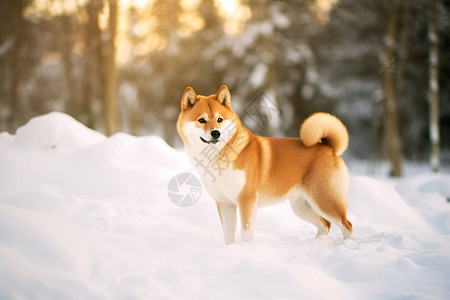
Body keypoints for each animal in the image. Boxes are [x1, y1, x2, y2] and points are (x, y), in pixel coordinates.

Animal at [177, 84, 352, 244]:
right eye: (202, 120)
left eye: (220, 119)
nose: (216, 133)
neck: (221, 155)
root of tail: (329, 148)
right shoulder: (225, 204)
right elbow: (229, 236)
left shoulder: (246, 201)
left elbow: (246, 233)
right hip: (302, 207)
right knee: (325, 225)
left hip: (324, 201)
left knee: (346, 225)